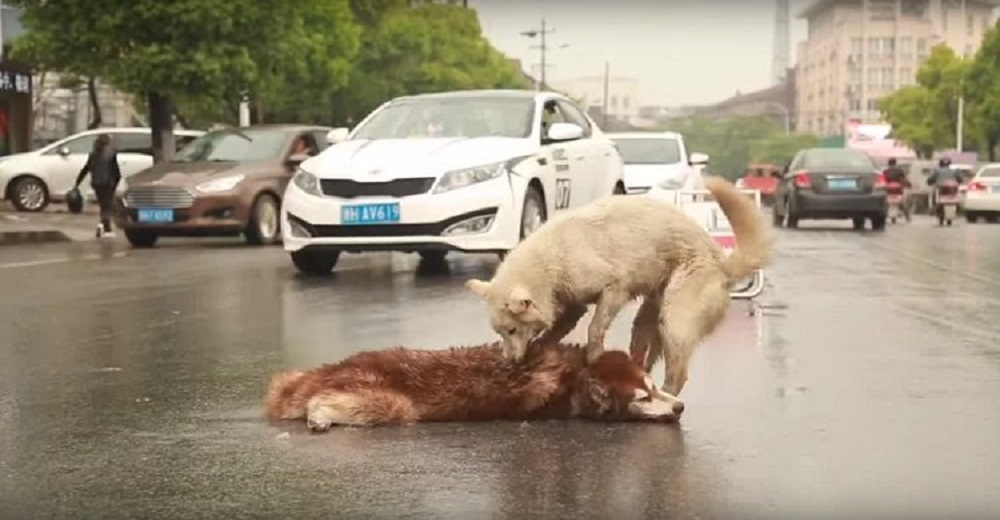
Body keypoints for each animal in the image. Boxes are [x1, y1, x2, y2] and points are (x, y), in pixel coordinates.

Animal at [464, 177, 768, 396]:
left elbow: (595, 328)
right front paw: (541, 351)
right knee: (644, 353)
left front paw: (593, 356)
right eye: (501, 333)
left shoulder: (613, 289)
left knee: (678, 374)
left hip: (674, 320)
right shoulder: (572, 305)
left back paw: (665, 399)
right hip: (649, 317)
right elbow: (554, 332)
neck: (550, 261)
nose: (508, 362)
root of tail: (721, 262)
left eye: (512, 330)